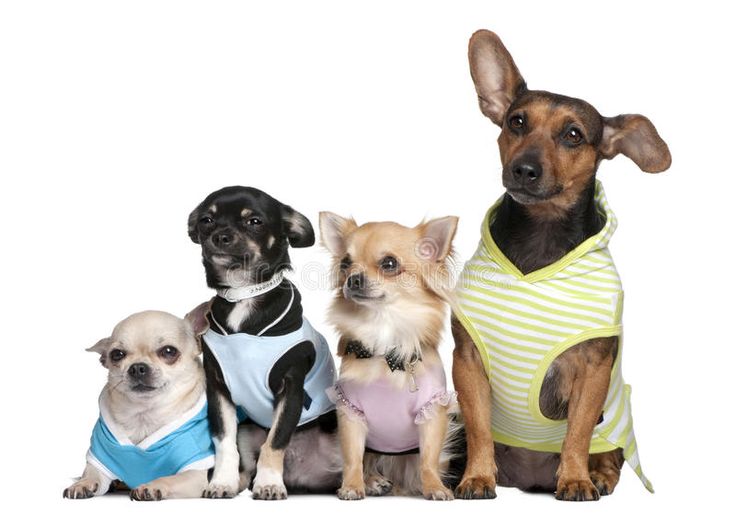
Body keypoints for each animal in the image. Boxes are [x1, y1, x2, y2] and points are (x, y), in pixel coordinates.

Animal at [452, 31, 668, 502]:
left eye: (573, 134)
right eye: (516, 121)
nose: (524, 169)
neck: (542, 235)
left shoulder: (594, 370)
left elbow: (579, 432)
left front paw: (575, 478)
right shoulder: (468, 363)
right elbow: (479, 429)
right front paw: (477, 477)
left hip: (619, 412)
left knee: (610, 452)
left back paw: (598, 475)